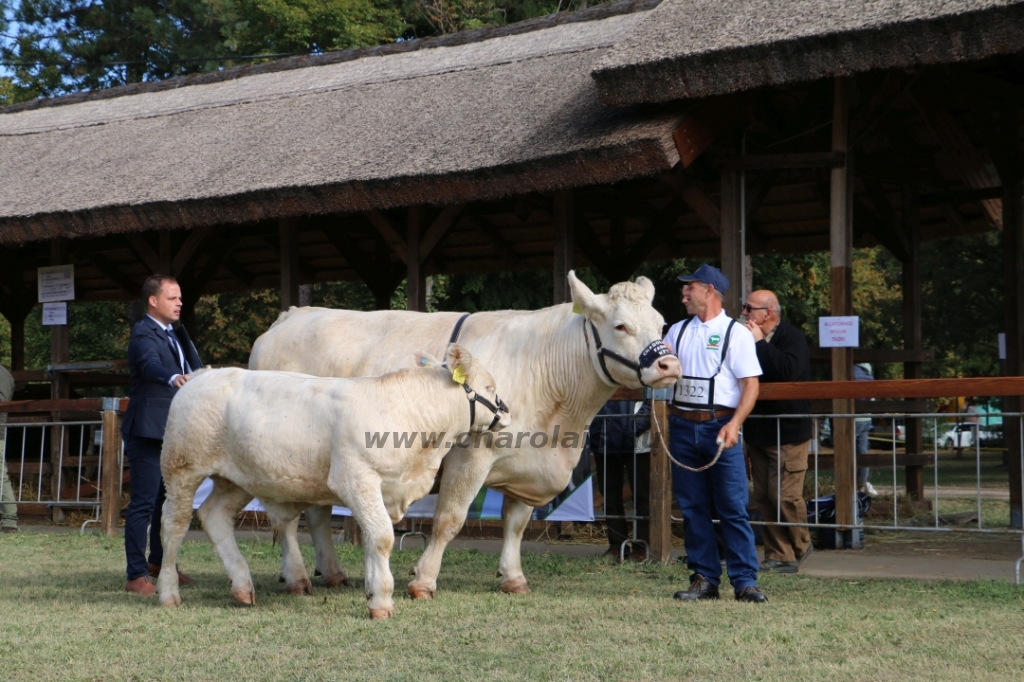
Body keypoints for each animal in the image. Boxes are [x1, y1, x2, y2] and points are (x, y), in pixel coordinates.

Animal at [158, 346, 507, 614]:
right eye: (490, 386)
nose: (507, 412)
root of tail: (202, 374)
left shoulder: (381, 488)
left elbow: (371, 540)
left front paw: (372, 590)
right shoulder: (357, 479)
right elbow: (382, 537)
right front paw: (381, 601)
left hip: (237, 479)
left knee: (214, 516)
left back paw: (242, 586)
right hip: (181, 470)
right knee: (173, 526)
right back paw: (168, 592)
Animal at [247, 270, 679, 593]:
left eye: (661, 324)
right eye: (621, 325)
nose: (670, 365)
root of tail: (290, 315)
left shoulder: (526, 463)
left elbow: (516, 523)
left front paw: (513, 577)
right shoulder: (470, 454)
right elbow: (449, 520)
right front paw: (423, 579)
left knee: (317, 512)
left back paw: (332, 572)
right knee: (286, 520)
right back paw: (298, 576)